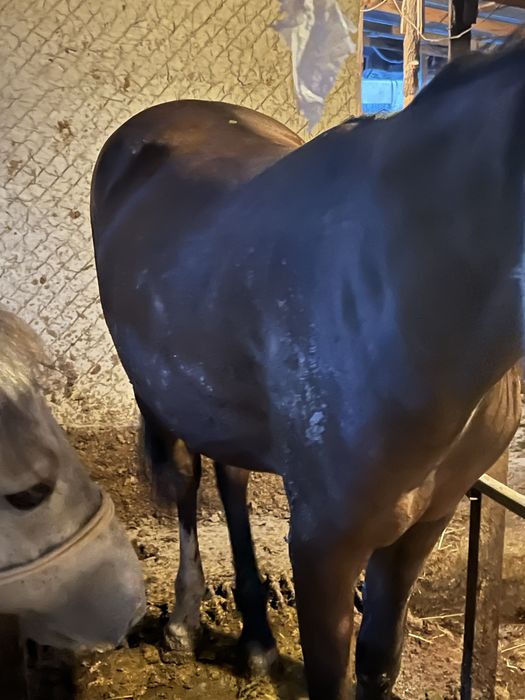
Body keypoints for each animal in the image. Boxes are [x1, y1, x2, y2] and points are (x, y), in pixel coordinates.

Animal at [90, 35, 525, 700]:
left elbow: (379, 660)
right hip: (157, 392)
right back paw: (185, 622)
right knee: (188, 483)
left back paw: (258, 641)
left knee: (231, 481)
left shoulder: (426, 521)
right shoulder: (324, 545)